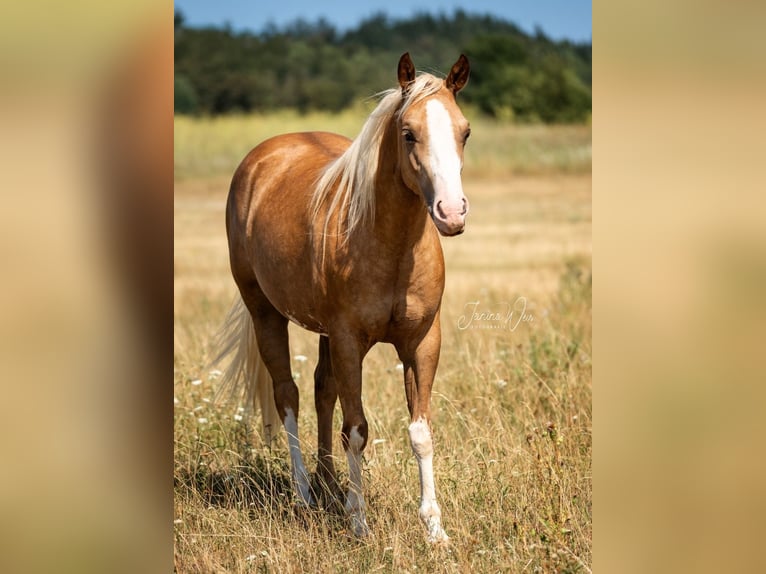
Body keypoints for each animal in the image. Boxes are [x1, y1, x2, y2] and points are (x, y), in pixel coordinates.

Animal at [214, 52, 471, 543]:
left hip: (323, 332)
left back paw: (328, 484)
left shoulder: (422, 342)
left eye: (465, 131)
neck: (390, 245)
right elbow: (357, 429)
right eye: (408, 132)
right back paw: (305, 494)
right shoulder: (350, 341)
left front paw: (434, 528)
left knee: (321, 390)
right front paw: (358, 522)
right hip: (266, 313)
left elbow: (420, 430)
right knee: (288, 394)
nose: (451, 212)